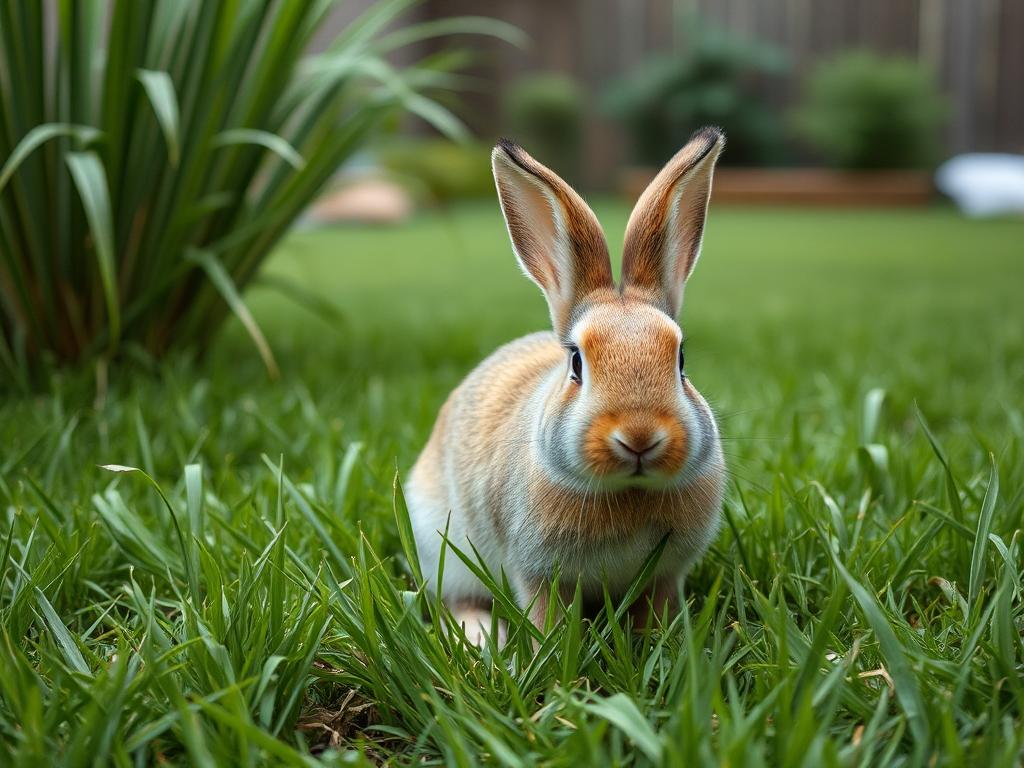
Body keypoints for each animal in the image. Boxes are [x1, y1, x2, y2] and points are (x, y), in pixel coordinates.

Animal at [407, 126, 729, 643]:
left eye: (681, 360)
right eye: (576, 363)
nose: (639, 437)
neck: (628, 491)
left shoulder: (665, 577)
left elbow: (654, 611)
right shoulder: (536, 573)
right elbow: (547, 618)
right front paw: (551, 652)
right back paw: (483, 637)